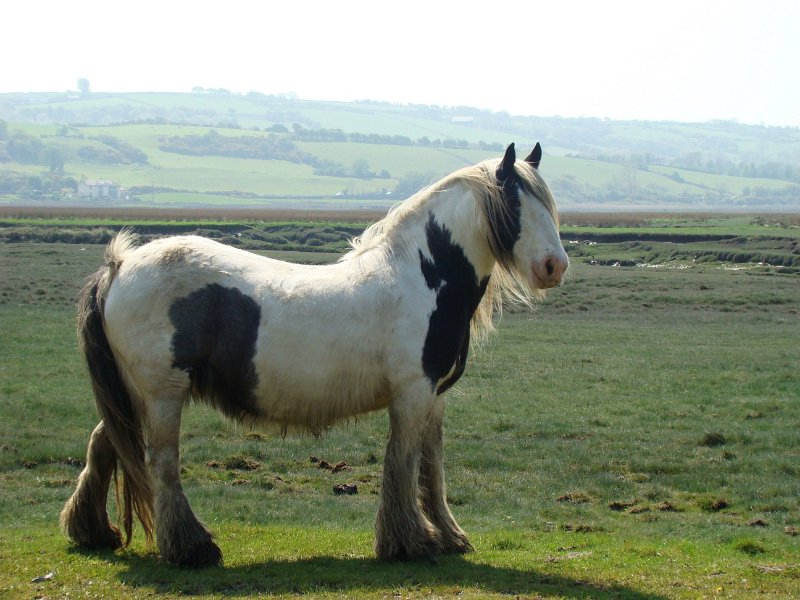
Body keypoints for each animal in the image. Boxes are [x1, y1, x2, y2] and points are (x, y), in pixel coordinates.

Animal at [60, 143, 568, 567]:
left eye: (548, 204)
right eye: (515, 205)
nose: (554, 267)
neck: (420, 275)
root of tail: (120, 265)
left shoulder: (434, 397)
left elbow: (432, 467)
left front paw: (447, 536)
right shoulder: (411, 394)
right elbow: (403, 463)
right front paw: (409, 542)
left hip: (134, 396)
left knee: (104, 444)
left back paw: (92, 532)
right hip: (162, 395)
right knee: (160, 463)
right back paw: (191, 548)